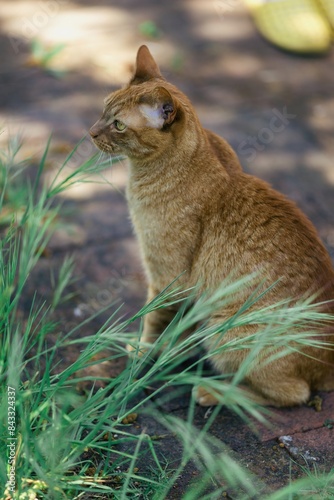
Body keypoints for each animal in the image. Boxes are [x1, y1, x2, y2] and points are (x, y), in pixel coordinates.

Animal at [89, 46, 334, 406]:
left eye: (118, 124)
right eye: (103, 109)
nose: (91, 132)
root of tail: (328, 364)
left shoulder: (169, 281)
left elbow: (152, 324)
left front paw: (144, 352)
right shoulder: (186, 293)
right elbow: (176, 330)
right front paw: (171, 352)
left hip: (226, 331)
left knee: (291, 394)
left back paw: (211, 390)